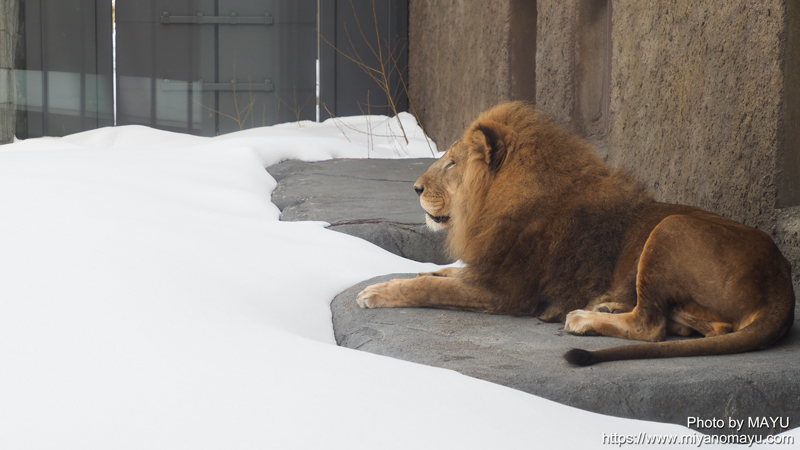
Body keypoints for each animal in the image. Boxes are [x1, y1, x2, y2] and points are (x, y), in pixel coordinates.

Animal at [356, 101, 792, 366]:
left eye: (450, 164)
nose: (414, 188)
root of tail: (781, 283)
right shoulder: (487, 268)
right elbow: (443, 273)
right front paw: (429, 270)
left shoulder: (504, 292)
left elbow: (428, 287)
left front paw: (377, 291)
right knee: (703, 326)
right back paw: (613, 307)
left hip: (671, 227)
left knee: (650, 327)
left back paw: (584, 317)